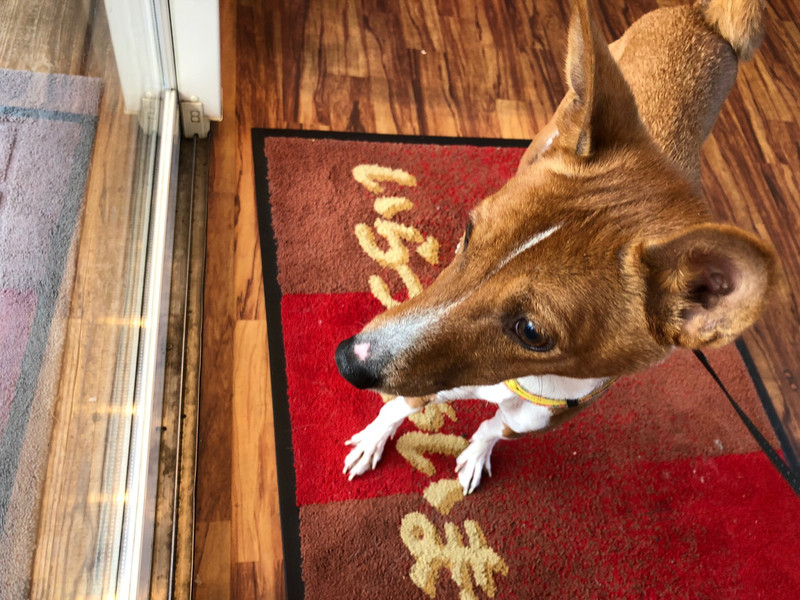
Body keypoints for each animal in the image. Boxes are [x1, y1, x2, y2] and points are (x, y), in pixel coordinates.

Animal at [335, 0, 777, 495]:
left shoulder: (524, 419)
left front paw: (475, 455)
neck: (517, 381)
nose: (348, 361)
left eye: (531, 332)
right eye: (470, 231)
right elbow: (398, 407)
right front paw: (373, 439)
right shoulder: (425, 379)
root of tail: (703, 18)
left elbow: (489, 429)